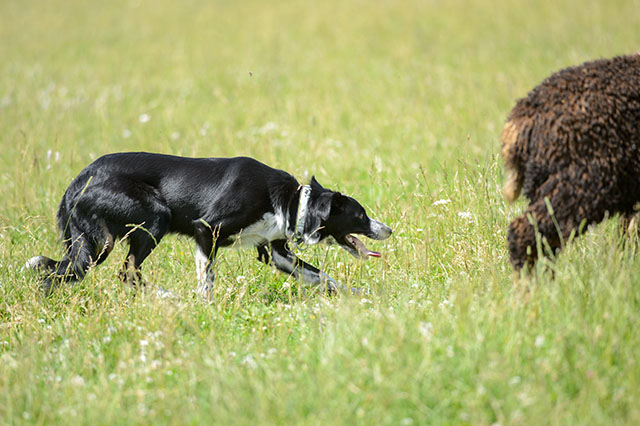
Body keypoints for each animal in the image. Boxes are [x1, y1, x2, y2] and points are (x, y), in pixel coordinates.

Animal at [27, 151, 392, 298]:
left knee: (64, 272)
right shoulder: (206, 229)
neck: (290, 203)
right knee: (125, 271)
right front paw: (205, 308)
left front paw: (361, 295)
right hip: (151, 220)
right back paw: (167, 296)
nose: (387, 230)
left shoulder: (276, 253)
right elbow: (207, 281)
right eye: (360, 215)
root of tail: (77, 181)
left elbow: (323, 277)